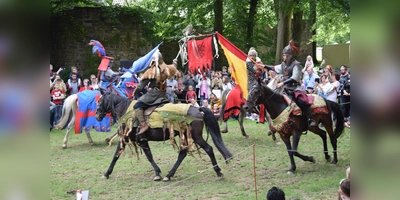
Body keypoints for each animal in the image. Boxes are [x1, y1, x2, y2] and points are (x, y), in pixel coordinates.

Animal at [96, 90, 234, 181]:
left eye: (101, 101)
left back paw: (218, 172)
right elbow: (148, 155)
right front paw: (158, 173)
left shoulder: (129, 139)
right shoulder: (141, 140)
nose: (97, 116)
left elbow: (118, 155)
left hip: (196, 136)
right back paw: (169, 175)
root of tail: (198, 109)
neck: (126, 110)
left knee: (208, 149)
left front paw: (107, 173)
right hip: (186, 135)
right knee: (182, 153)